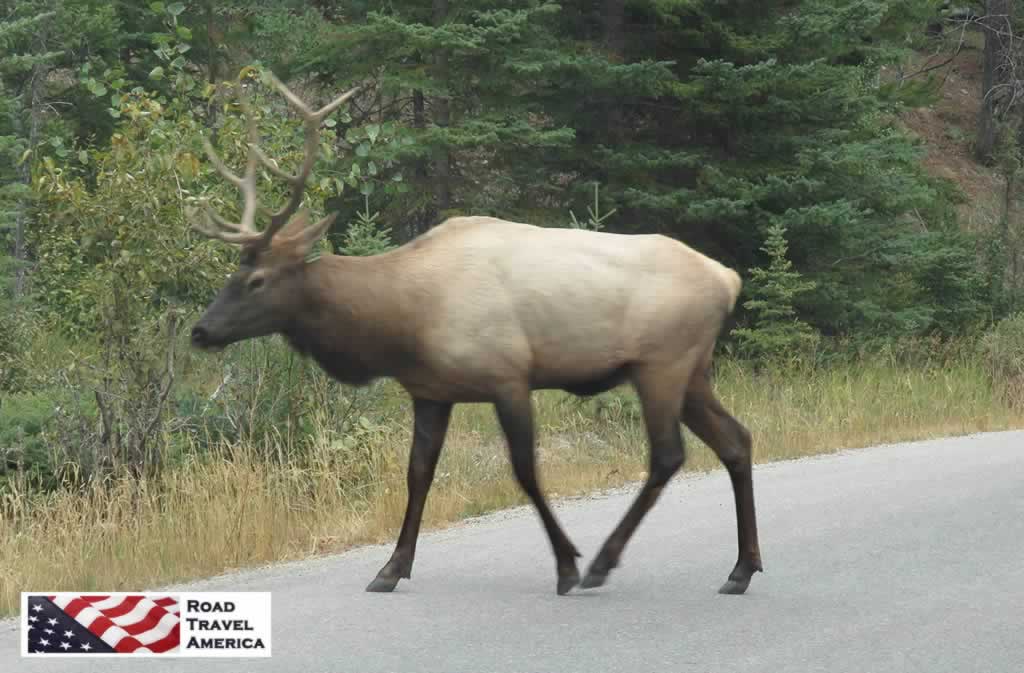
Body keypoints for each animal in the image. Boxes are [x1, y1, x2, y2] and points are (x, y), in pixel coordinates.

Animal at [188, 72, 763, 597]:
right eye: (233, 273)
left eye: (257, 280)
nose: (200, 330)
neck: (402, 323)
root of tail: (727, 278)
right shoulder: (430, 391)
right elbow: (418, 473)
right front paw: (391, 568)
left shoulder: (508, 376)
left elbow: (525, 470)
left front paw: (566, 564)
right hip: (693, 371)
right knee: (736, 440)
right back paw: (741, 569)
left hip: (659, 364)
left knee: (668, 454)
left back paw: (604, 562)